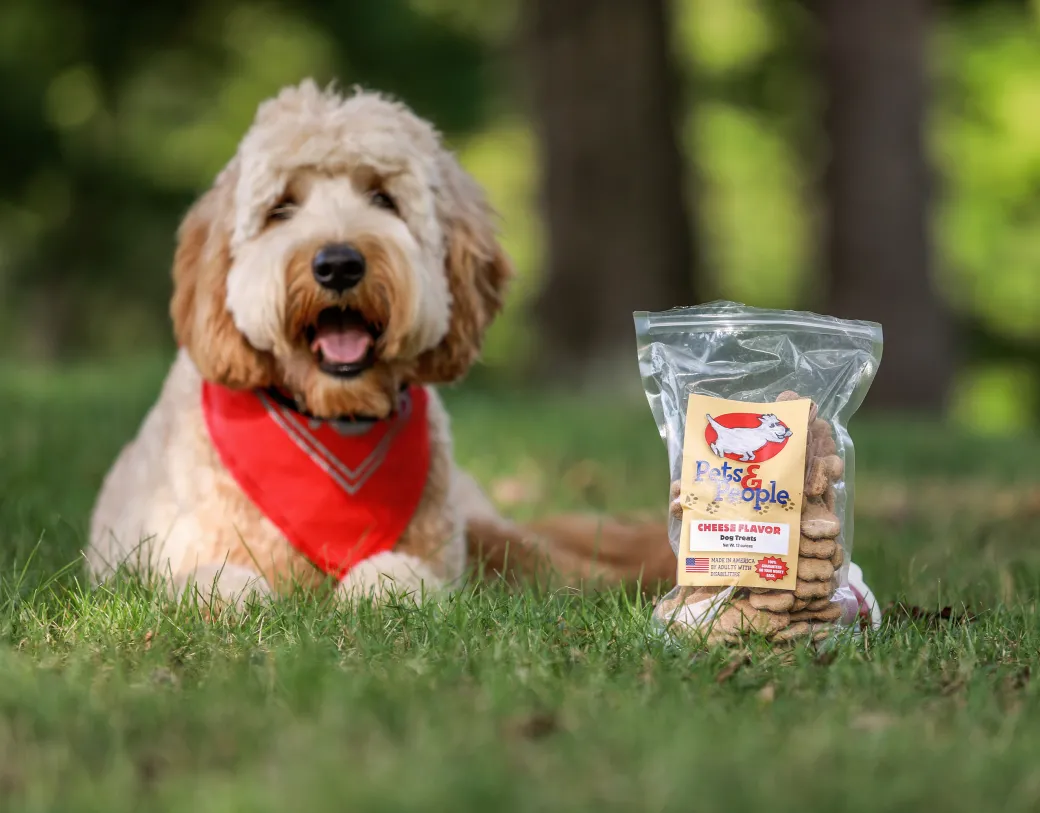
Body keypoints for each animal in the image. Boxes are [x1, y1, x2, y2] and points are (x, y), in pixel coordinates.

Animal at [87, 81, 673, 611]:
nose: (338, 264)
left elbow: (391, 578)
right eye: (281, 208)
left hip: (494, 533)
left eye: (383, 198)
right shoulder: (172, 554)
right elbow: (217, 584)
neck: (335, 419)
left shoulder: (438, 556)